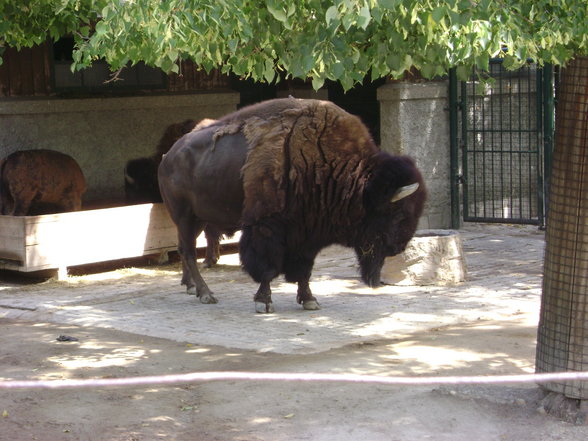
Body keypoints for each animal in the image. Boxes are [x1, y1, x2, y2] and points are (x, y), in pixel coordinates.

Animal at [158, 98, 424, 312]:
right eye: (399, 214)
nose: (398, 248)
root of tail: (167, 157)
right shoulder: (267, 228)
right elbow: (266, 267)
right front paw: (264, 302)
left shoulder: (308, 234)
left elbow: (304, 269)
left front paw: (309, 300)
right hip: (184, 216)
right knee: (188, 251)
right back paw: (206, 294)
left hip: (198, 219)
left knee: (185, 249)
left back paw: (192, 287)